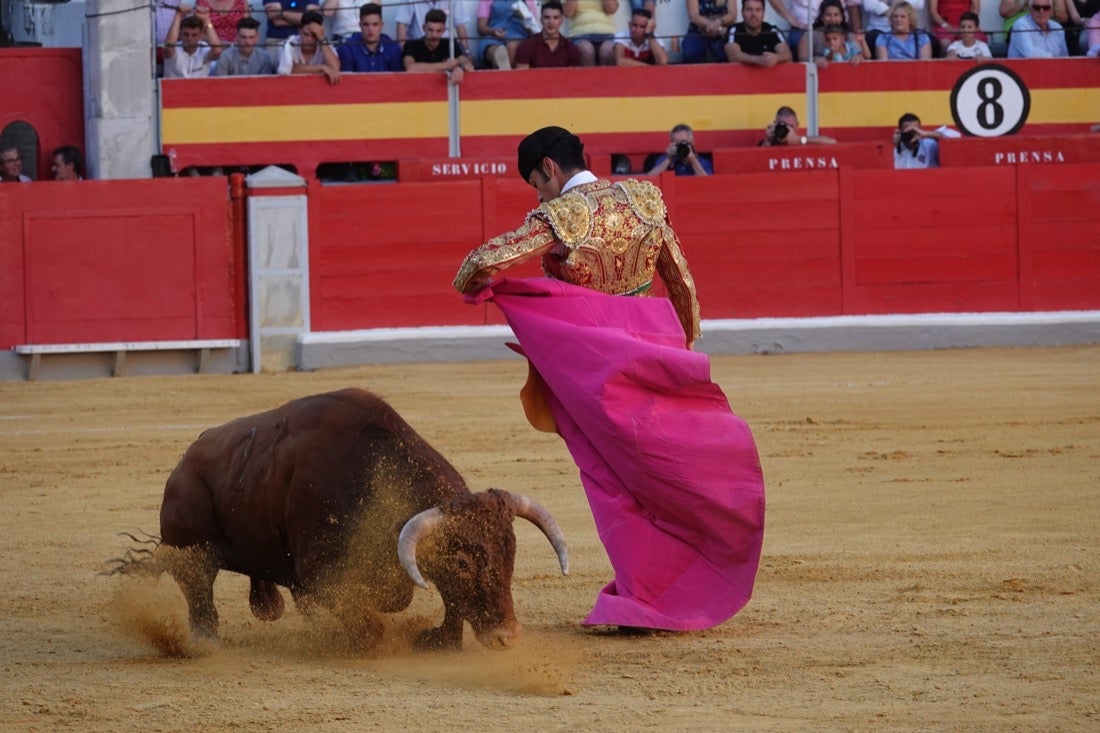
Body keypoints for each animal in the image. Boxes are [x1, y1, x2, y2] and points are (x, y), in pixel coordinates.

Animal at [159, 387, 572, 651]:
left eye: (510, 554)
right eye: (462, 562)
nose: (507, 636)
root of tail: (185, 460)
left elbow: (438, 599)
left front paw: (438, 639)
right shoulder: (322, 575)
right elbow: (372, 623)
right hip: (188, 553)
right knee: (199, 594)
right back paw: (205, 642)